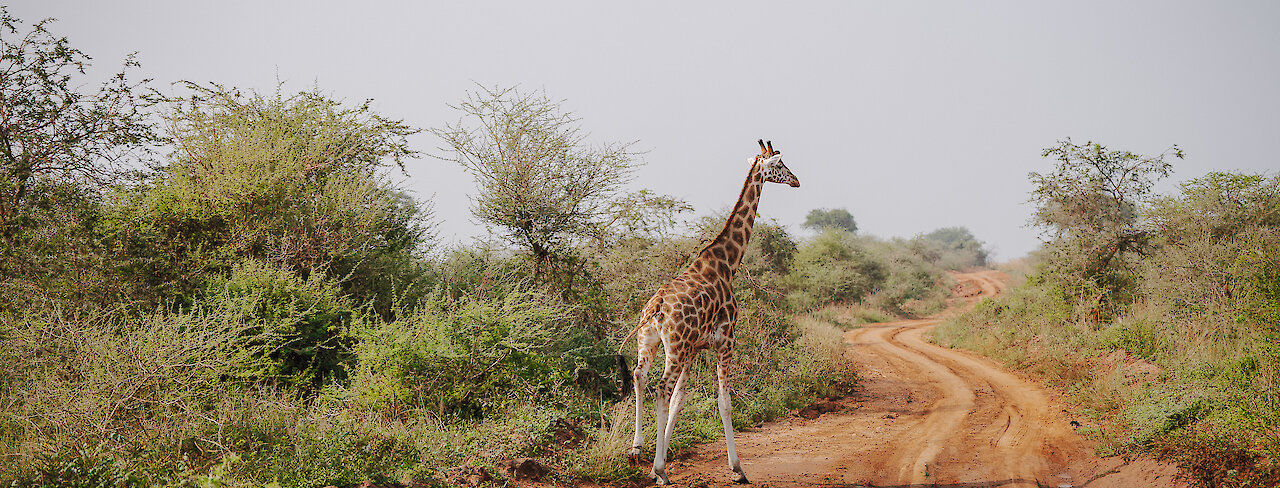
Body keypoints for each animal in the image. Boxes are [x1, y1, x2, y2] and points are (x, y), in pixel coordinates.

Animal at [616, 140, 800, 485]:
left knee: (640, 376)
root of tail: (656, 306)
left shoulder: (695, 348)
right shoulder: (725, 341)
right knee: (660, 388)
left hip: (650, 341)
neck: (727, 264)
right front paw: (737, 469)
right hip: (674, 347)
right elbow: (723, 402)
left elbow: (680, 400)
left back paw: (637, 451)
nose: (797, 180)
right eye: (781, 165)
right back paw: (657, 465)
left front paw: (659, 462)